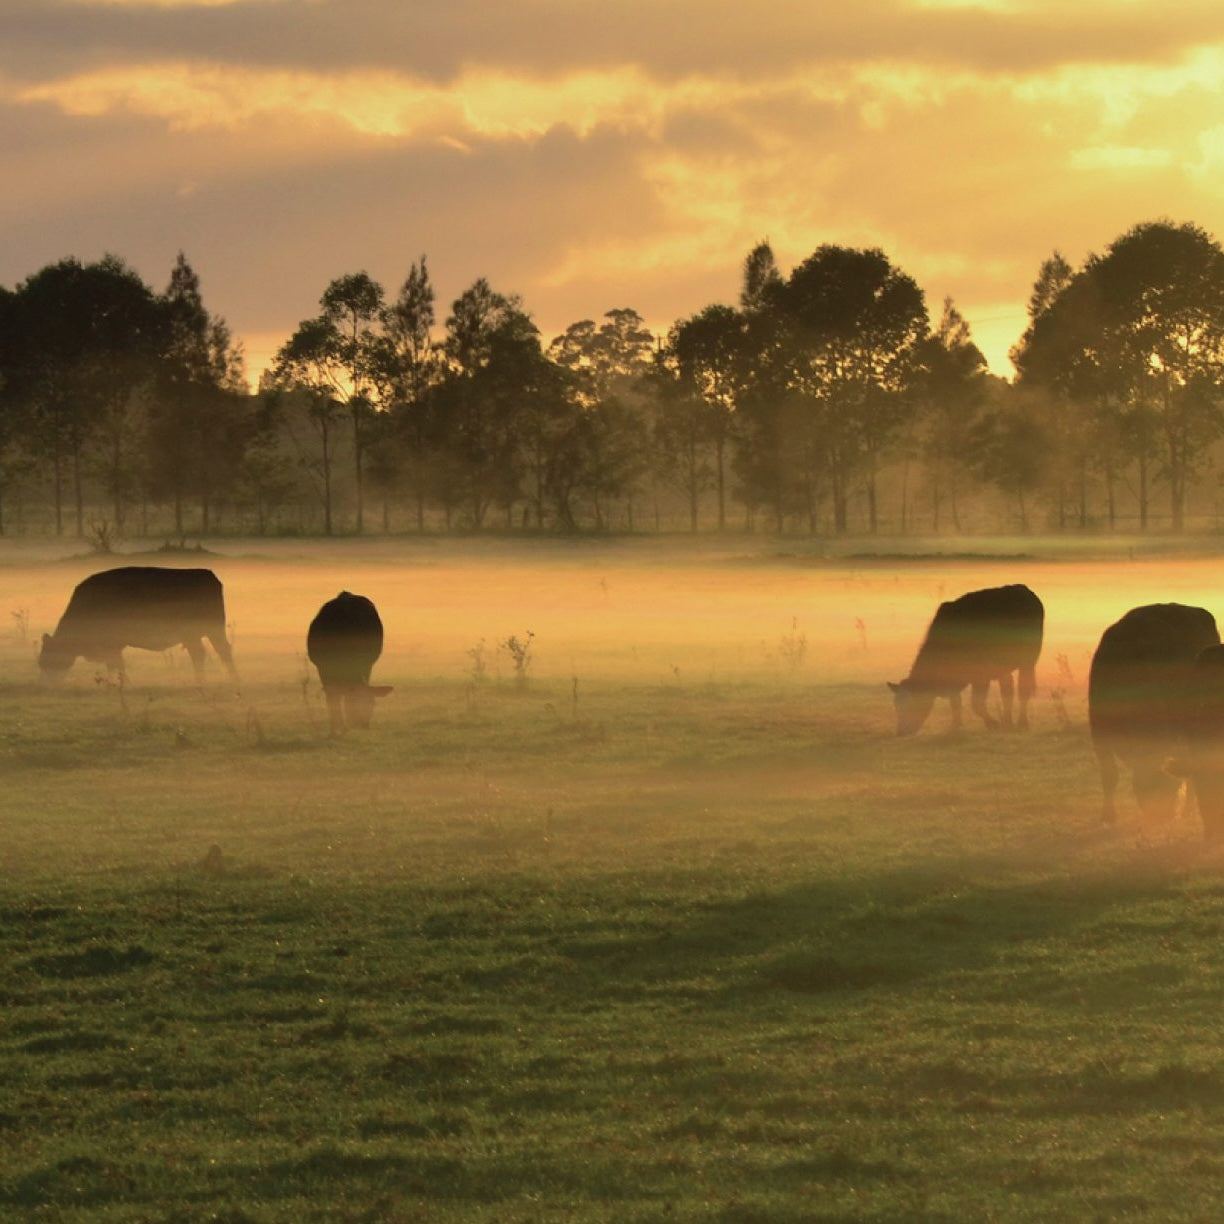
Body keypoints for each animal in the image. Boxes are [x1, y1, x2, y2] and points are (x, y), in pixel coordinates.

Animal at [38, 565, 236, 685]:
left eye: (48, 657)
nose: (49, 681)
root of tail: (209, 575)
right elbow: (115, 664)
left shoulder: (113, 645)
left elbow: (116, 663)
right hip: (205, 633)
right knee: (213, 652)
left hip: (203, 632)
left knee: (209, 653)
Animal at [306, 592, 391, 734]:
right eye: (354, 702)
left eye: (372, 704)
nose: (362, 725)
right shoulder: (323, 668)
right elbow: (332, 698)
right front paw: (336, 727)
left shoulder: (367, 665)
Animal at [891, 582, 1042, 734]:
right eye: (897, 706)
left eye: (912, 704)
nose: (901, 732)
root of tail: (1022, 588)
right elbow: (956, 702)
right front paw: (956, 726)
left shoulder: (981, 675)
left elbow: (976, 704)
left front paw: (992, 723)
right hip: (1004, 667)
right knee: (1007, 691)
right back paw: (1007, 722)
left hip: (1028, 661)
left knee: (1023, 690)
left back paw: (1021, 723)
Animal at [1091, 599, 1214, 822]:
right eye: (1148, 788)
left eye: (1169, 788)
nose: (1163, 816)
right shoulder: (1098, 731)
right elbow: (1109, 774)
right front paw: (1108, 816)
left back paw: (1188, 810)